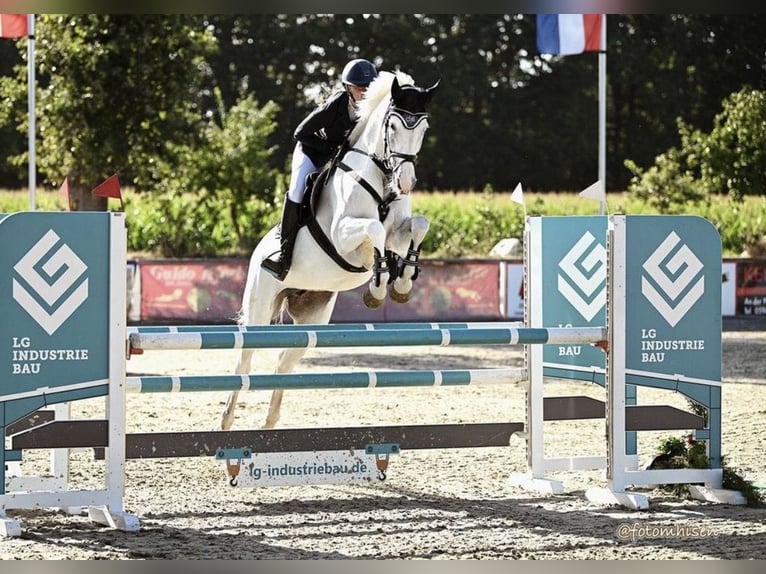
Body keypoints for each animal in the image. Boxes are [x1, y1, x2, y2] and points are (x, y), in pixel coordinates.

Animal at [220, 70, 439, 430]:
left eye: (423, 128)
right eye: (393, 126)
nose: (405, 183)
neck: (379, 177)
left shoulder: (399, 231)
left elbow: (418, 225)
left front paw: (403, 280)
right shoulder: (342, 236)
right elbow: (375, 230)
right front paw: (379, 287)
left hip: (313, 316)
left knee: (284, 363)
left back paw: (268, 425)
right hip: (260, 307)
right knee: (244, 360)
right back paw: (226, 420)